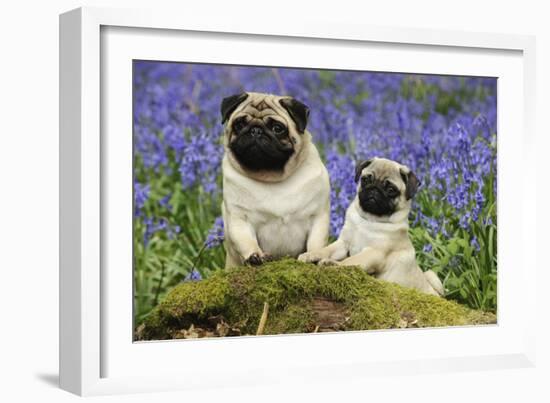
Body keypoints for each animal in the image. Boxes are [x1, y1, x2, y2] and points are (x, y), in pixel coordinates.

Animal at [222, 91, 330, 268]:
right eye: (239, 124)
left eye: (277, 128)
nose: (255, 130)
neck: (271, 177)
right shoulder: (240, 219)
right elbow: (246, 241)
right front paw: (255, 256)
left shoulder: (318, 216)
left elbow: (316, 242)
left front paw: (313, 256)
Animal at [300, 158, 446, 296]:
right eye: (365, 180)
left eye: (391, 190)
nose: (374, 189)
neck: (368, 220)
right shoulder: (343, 244)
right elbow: (326, 250)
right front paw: (311, 255)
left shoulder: (373, 253)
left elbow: (351, 261)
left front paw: (334, 264)